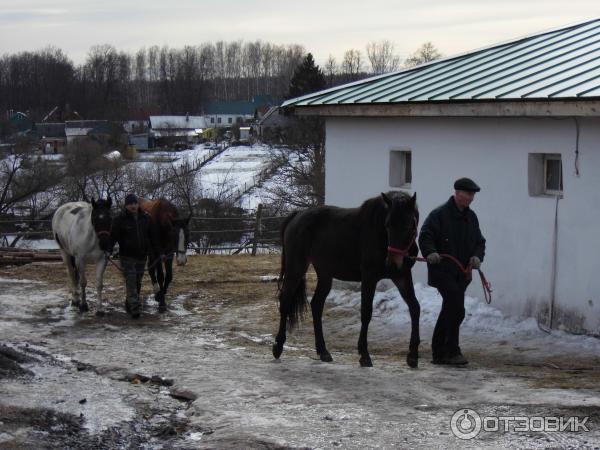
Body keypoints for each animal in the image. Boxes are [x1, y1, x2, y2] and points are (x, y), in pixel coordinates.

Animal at [274, 192, 420, 368]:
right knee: (285, 301)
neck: (379, 233)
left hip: (324, 273)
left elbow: (415, 308)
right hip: (296, 268)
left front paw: (412, 356)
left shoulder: (402, 276)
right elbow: (366, 312)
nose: (392, 264)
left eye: (409, 225)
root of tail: (297, 216)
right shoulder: (369, 277)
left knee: (316, 305)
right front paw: (364, 355)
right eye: (387, 225)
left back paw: (323, 351)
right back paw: (278, 347)